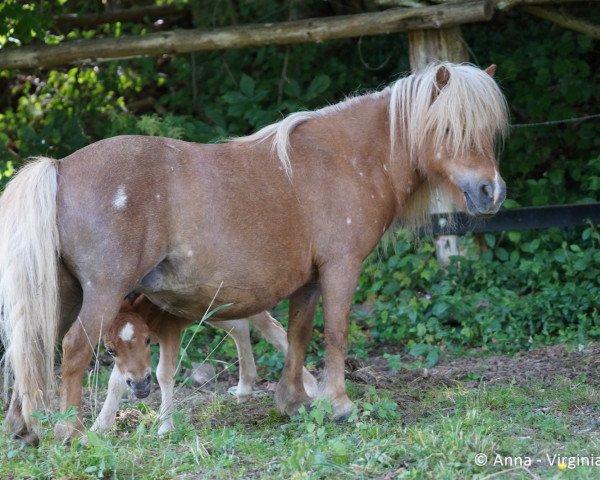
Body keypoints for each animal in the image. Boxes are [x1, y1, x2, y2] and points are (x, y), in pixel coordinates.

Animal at [92, 296, 318, 436]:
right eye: (110, 351)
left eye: (147, 340)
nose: (140, 386)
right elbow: (115, 382)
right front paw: (97, 428)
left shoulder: (169, 328)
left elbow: (163, 373)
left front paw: (165, 426)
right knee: (238, 327)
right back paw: (244, 388)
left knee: (272, 329)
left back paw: (310, 386)